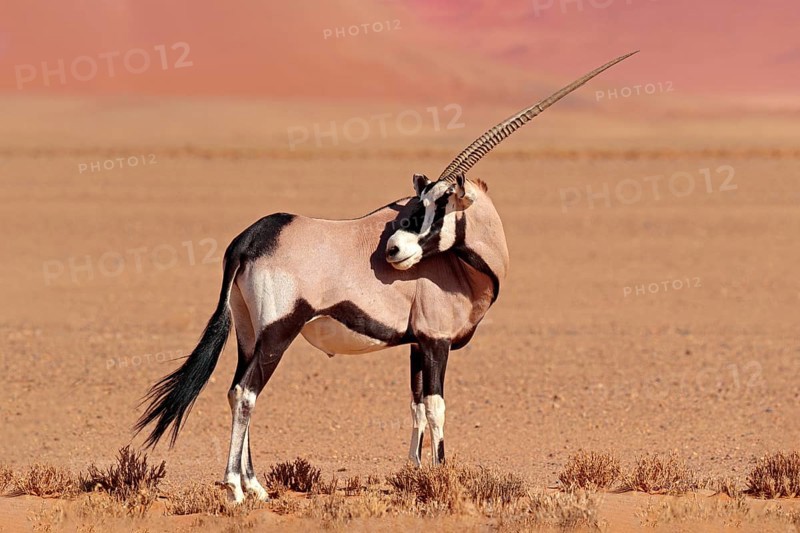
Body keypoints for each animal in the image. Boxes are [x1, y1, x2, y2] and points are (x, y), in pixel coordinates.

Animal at [135, 52, 637, 503]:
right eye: (422, 202)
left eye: (440, 204)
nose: (393, 250)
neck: (463, 268)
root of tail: (250, 238)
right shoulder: (435, 342)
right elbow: (436, 407)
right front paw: (441, 475)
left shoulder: (416, 344)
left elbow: (414, 406)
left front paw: (413, 474)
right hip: (278, 331)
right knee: (246, 392)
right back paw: (238, 489)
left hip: (247, 332)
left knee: (235, 388)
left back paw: (254, 484)